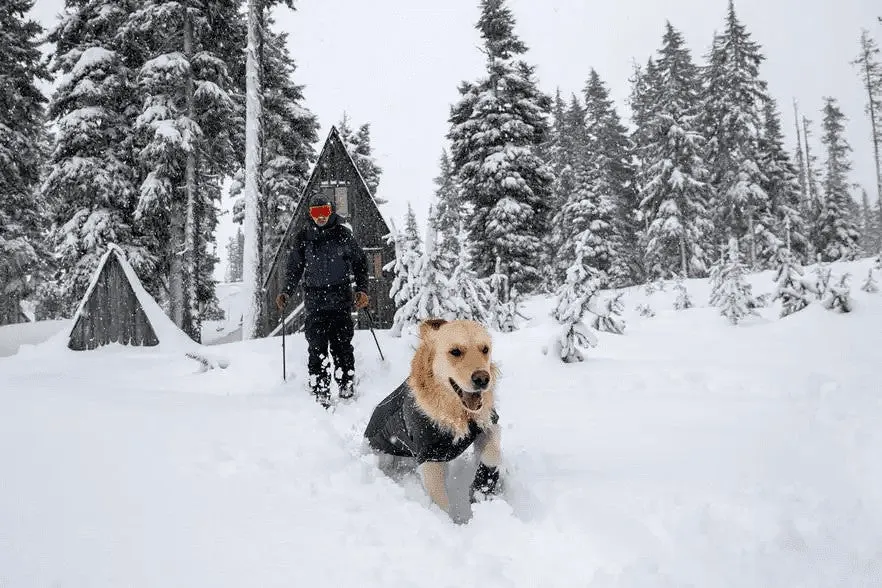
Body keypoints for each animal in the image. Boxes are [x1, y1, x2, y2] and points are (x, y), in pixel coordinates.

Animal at [362, 316, 502, 516]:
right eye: (455, 351)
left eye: (485, 349)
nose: (483, 379)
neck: (457, 414)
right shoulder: (429, 457)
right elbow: (441, 502)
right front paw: (448, 521)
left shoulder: (487, 425)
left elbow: (492, 455)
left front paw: (482, 488)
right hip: (384, 455)